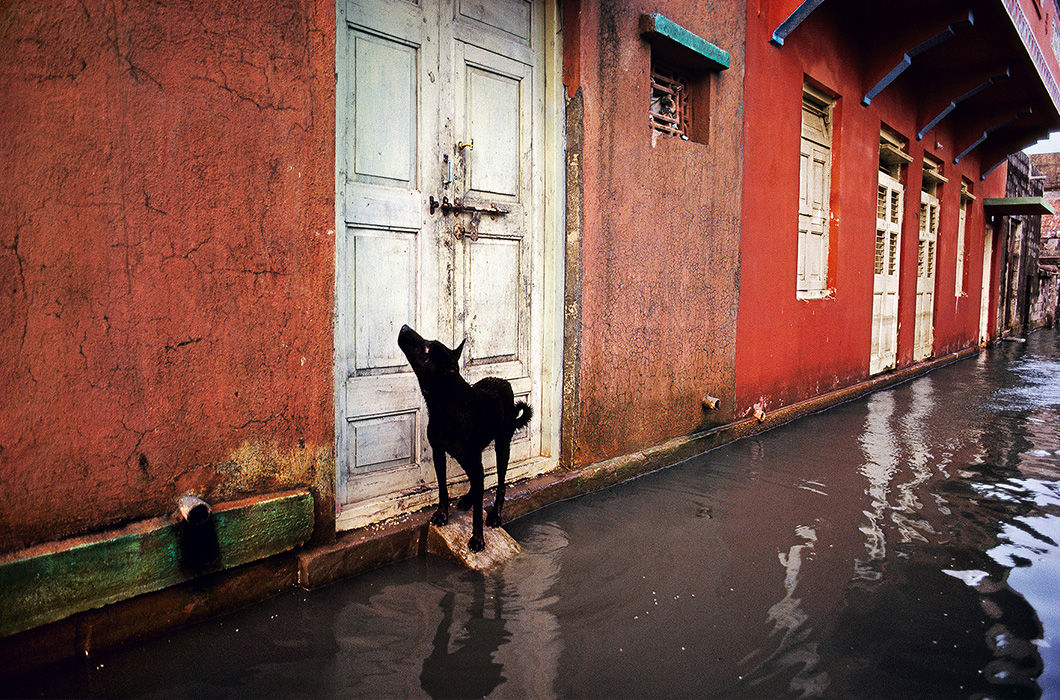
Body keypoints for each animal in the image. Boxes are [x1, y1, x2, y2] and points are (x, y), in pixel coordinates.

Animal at [396, 324, 530, 551]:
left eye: (427, 348)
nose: (404, 327)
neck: (447, 403)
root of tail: (503, 381)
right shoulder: (439, 453)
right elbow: (443, 489)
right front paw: (442, 515)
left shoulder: (474, 460)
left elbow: (478, 510)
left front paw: (477, 539)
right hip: (467, 457)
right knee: (478, 482)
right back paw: (469, 498)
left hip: (502, 446)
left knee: (500, 484)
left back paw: (495, 515)